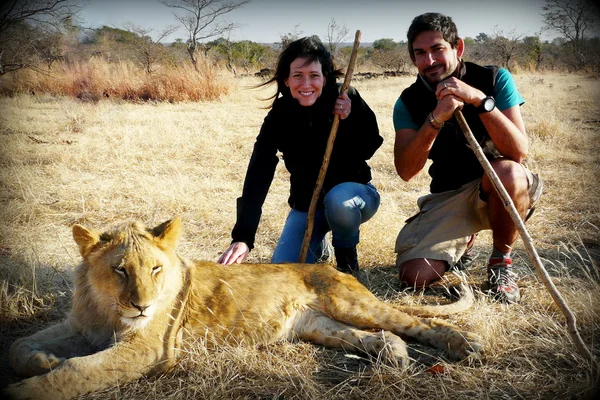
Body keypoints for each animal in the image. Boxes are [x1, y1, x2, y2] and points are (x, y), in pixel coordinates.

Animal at [4, 217, 482, 398]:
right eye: (119, 270)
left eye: (156, 269)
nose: (142, 306)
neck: (107, 310)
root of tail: (329, 266)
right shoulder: (81, 326)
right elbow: (21, 346)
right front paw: (44, 359)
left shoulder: (151, 348)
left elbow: (77, 371)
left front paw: (27, 388)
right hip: (319, 325)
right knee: (377, 336)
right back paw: (394, 356)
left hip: (351, 303)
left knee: (419, 323)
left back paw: (464, 346)